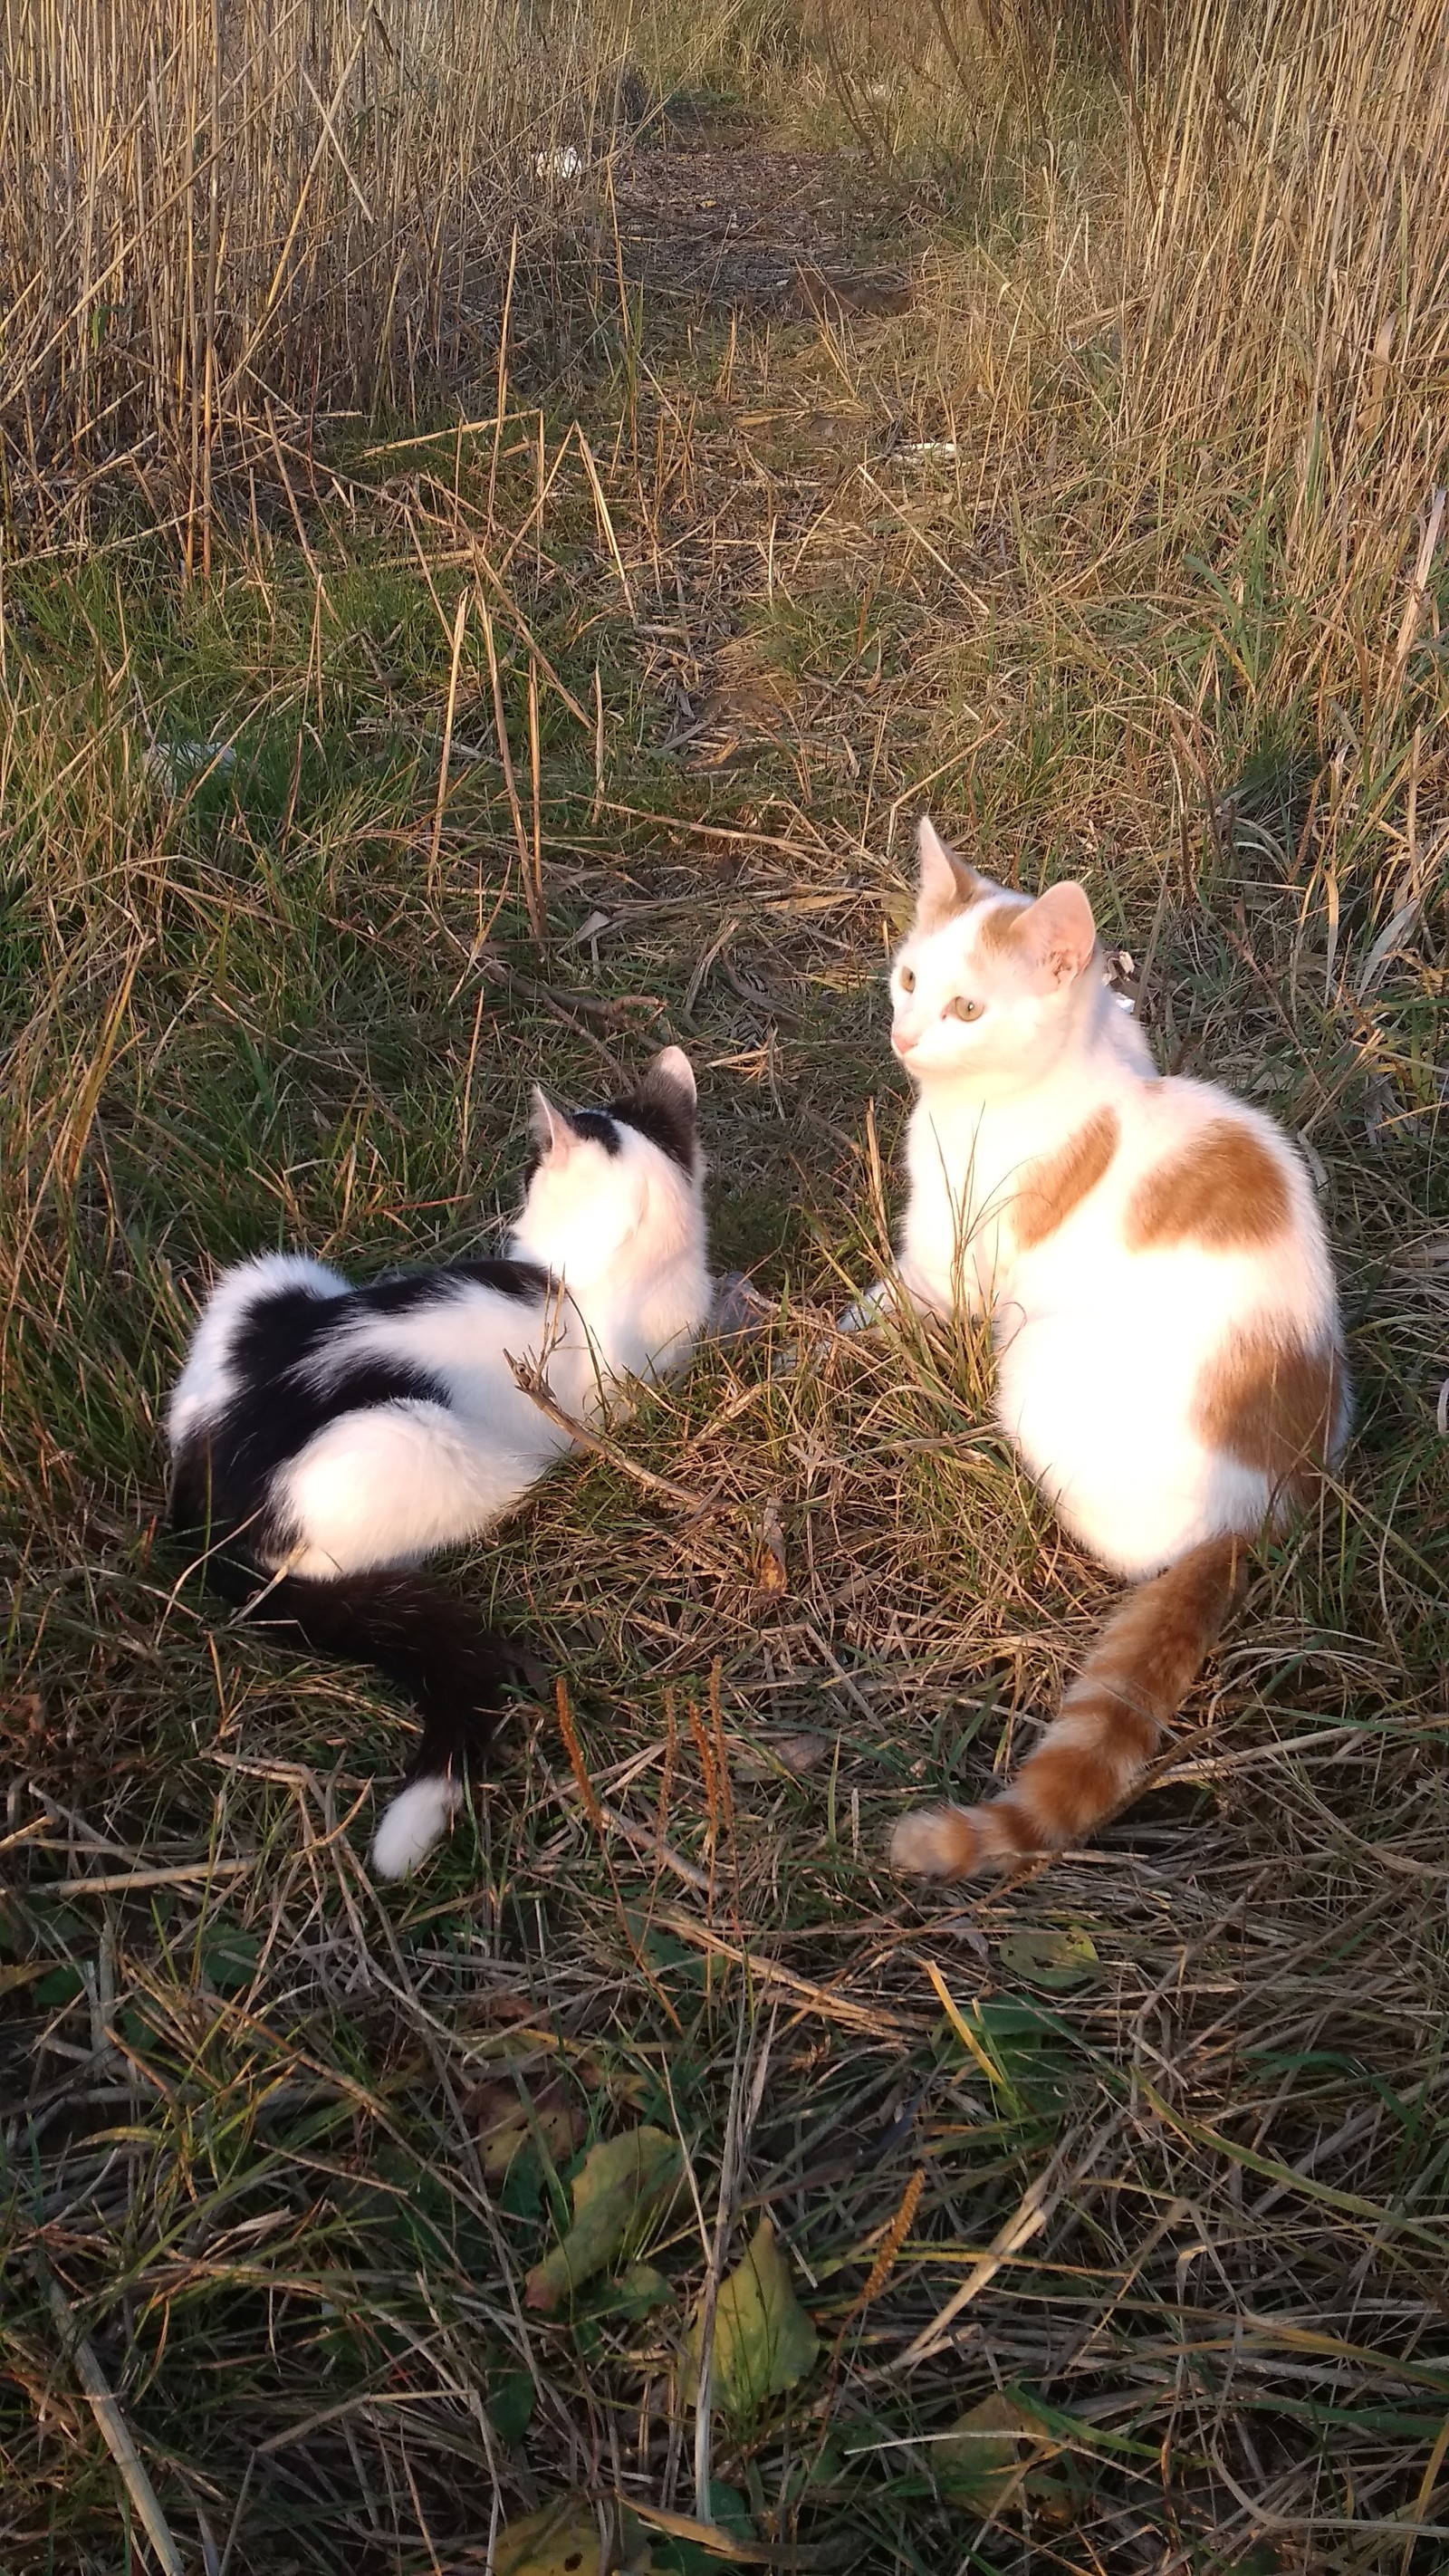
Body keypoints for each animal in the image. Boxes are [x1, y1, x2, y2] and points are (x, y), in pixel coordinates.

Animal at [854, 819, 1358, 1875]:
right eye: (910, 979)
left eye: (968, 1007)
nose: (906, 1036)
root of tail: (1266, 1502)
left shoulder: (945, 1266)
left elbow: (862, 1321)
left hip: (1034, 1369)